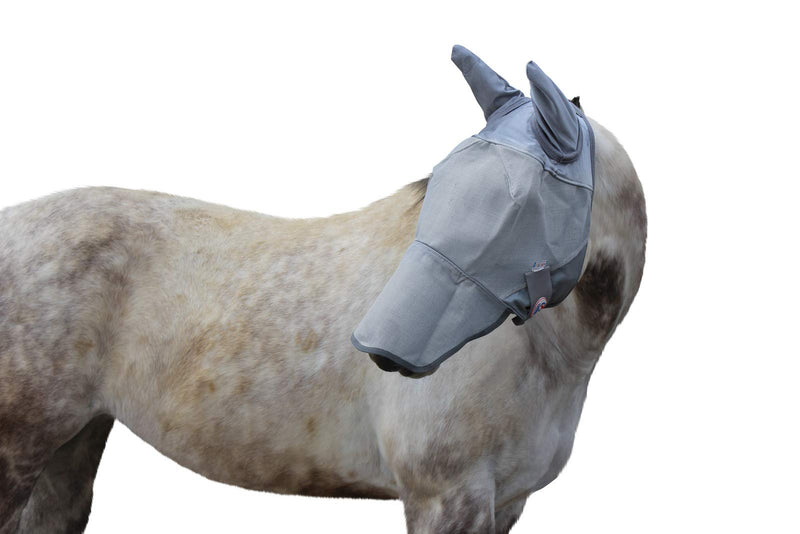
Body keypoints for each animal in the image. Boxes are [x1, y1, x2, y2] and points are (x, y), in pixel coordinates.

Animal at [0, 70, 646, 534]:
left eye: (519, 202)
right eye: (438, 183)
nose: (384, 351)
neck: (546, 353)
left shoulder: (506, 501)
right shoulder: (446, 496)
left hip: (74, 440)